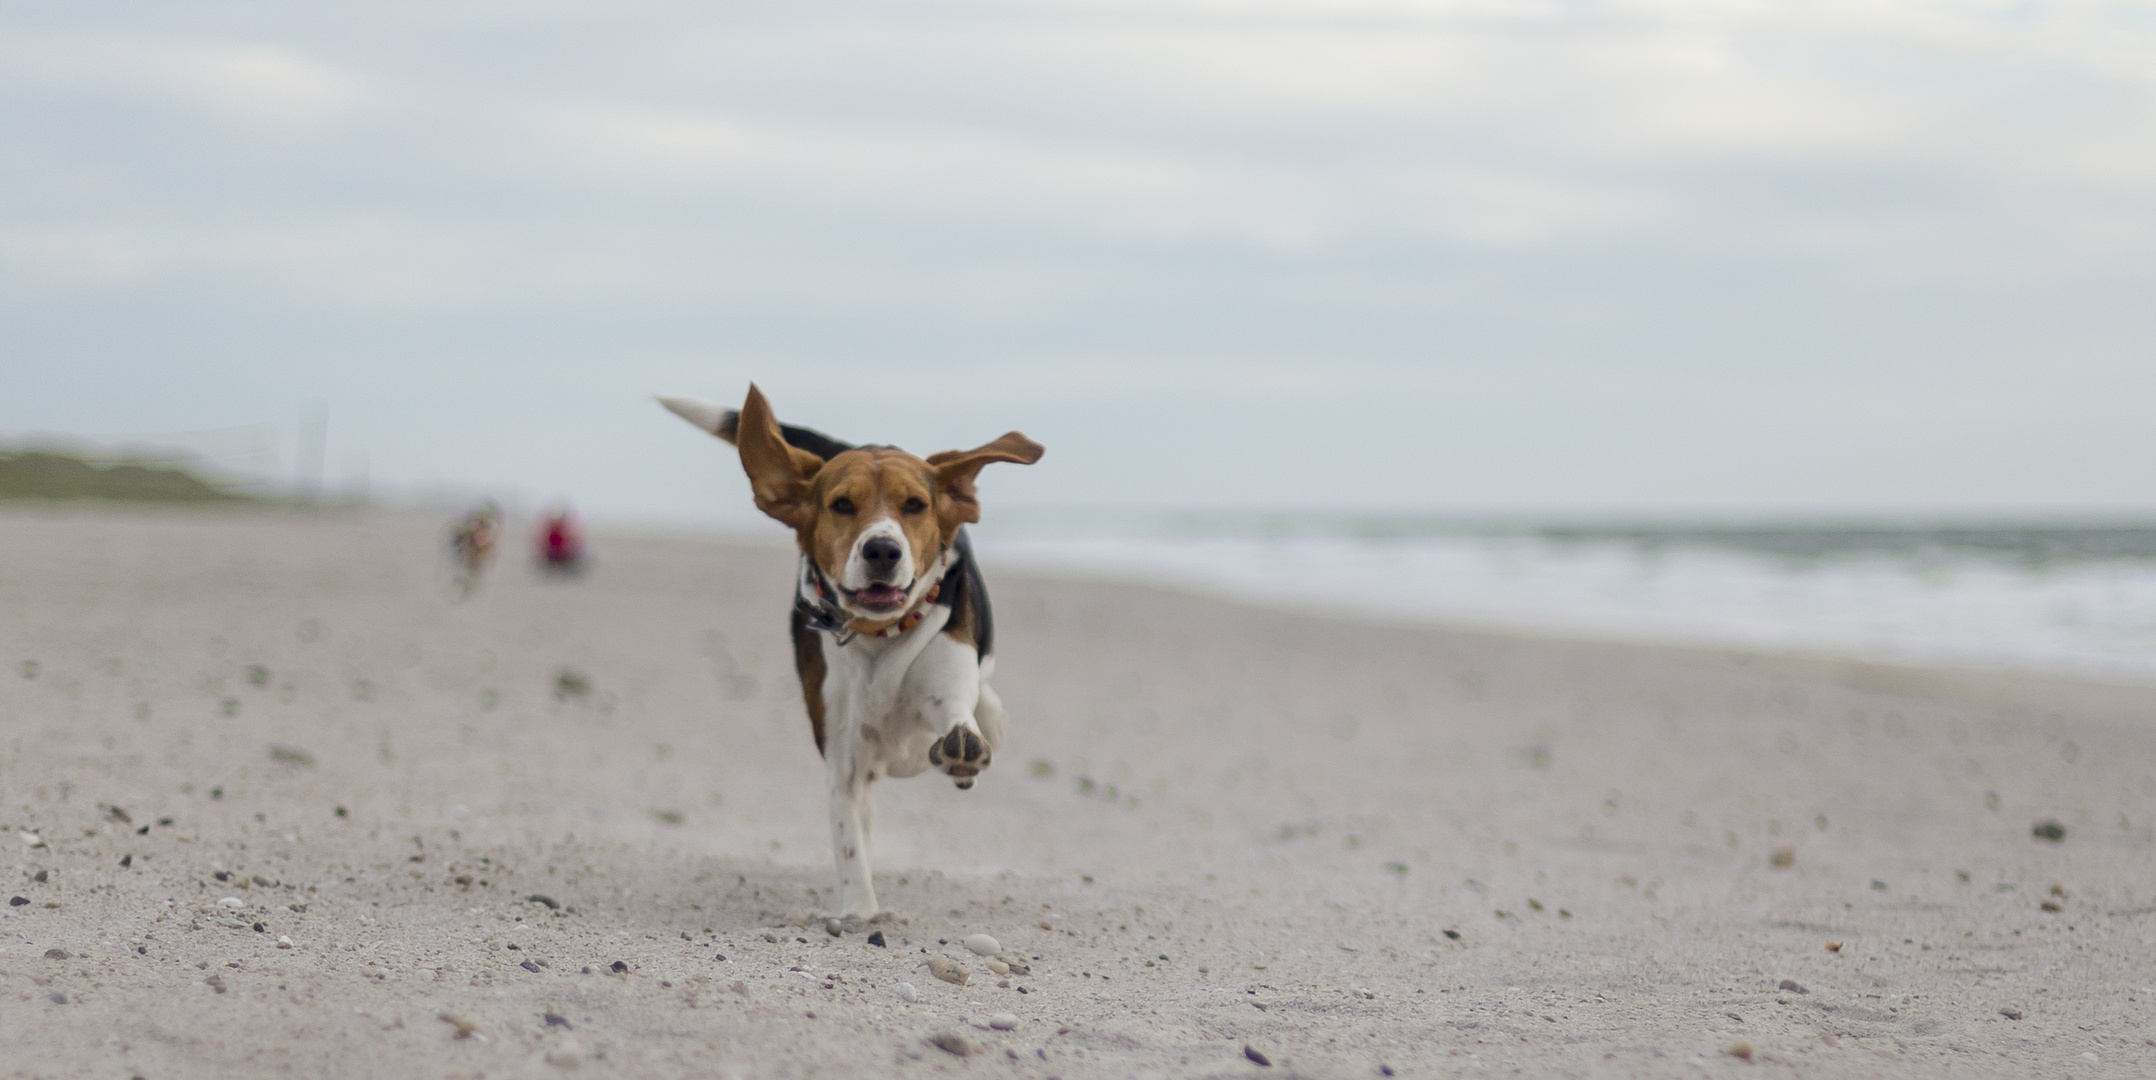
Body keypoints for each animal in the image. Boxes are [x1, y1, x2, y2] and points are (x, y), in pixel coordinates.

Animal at [655, 383, 1043, 914]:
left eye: (914, 505)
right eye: (841, 504)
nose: (882, 549)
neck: (880, 635)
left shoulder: (946, 688)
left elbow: (958, 719)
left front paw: (964, 743)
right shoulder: (842, 752)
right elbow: (848, 836)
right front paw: (859, 911)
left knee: (988, 710)